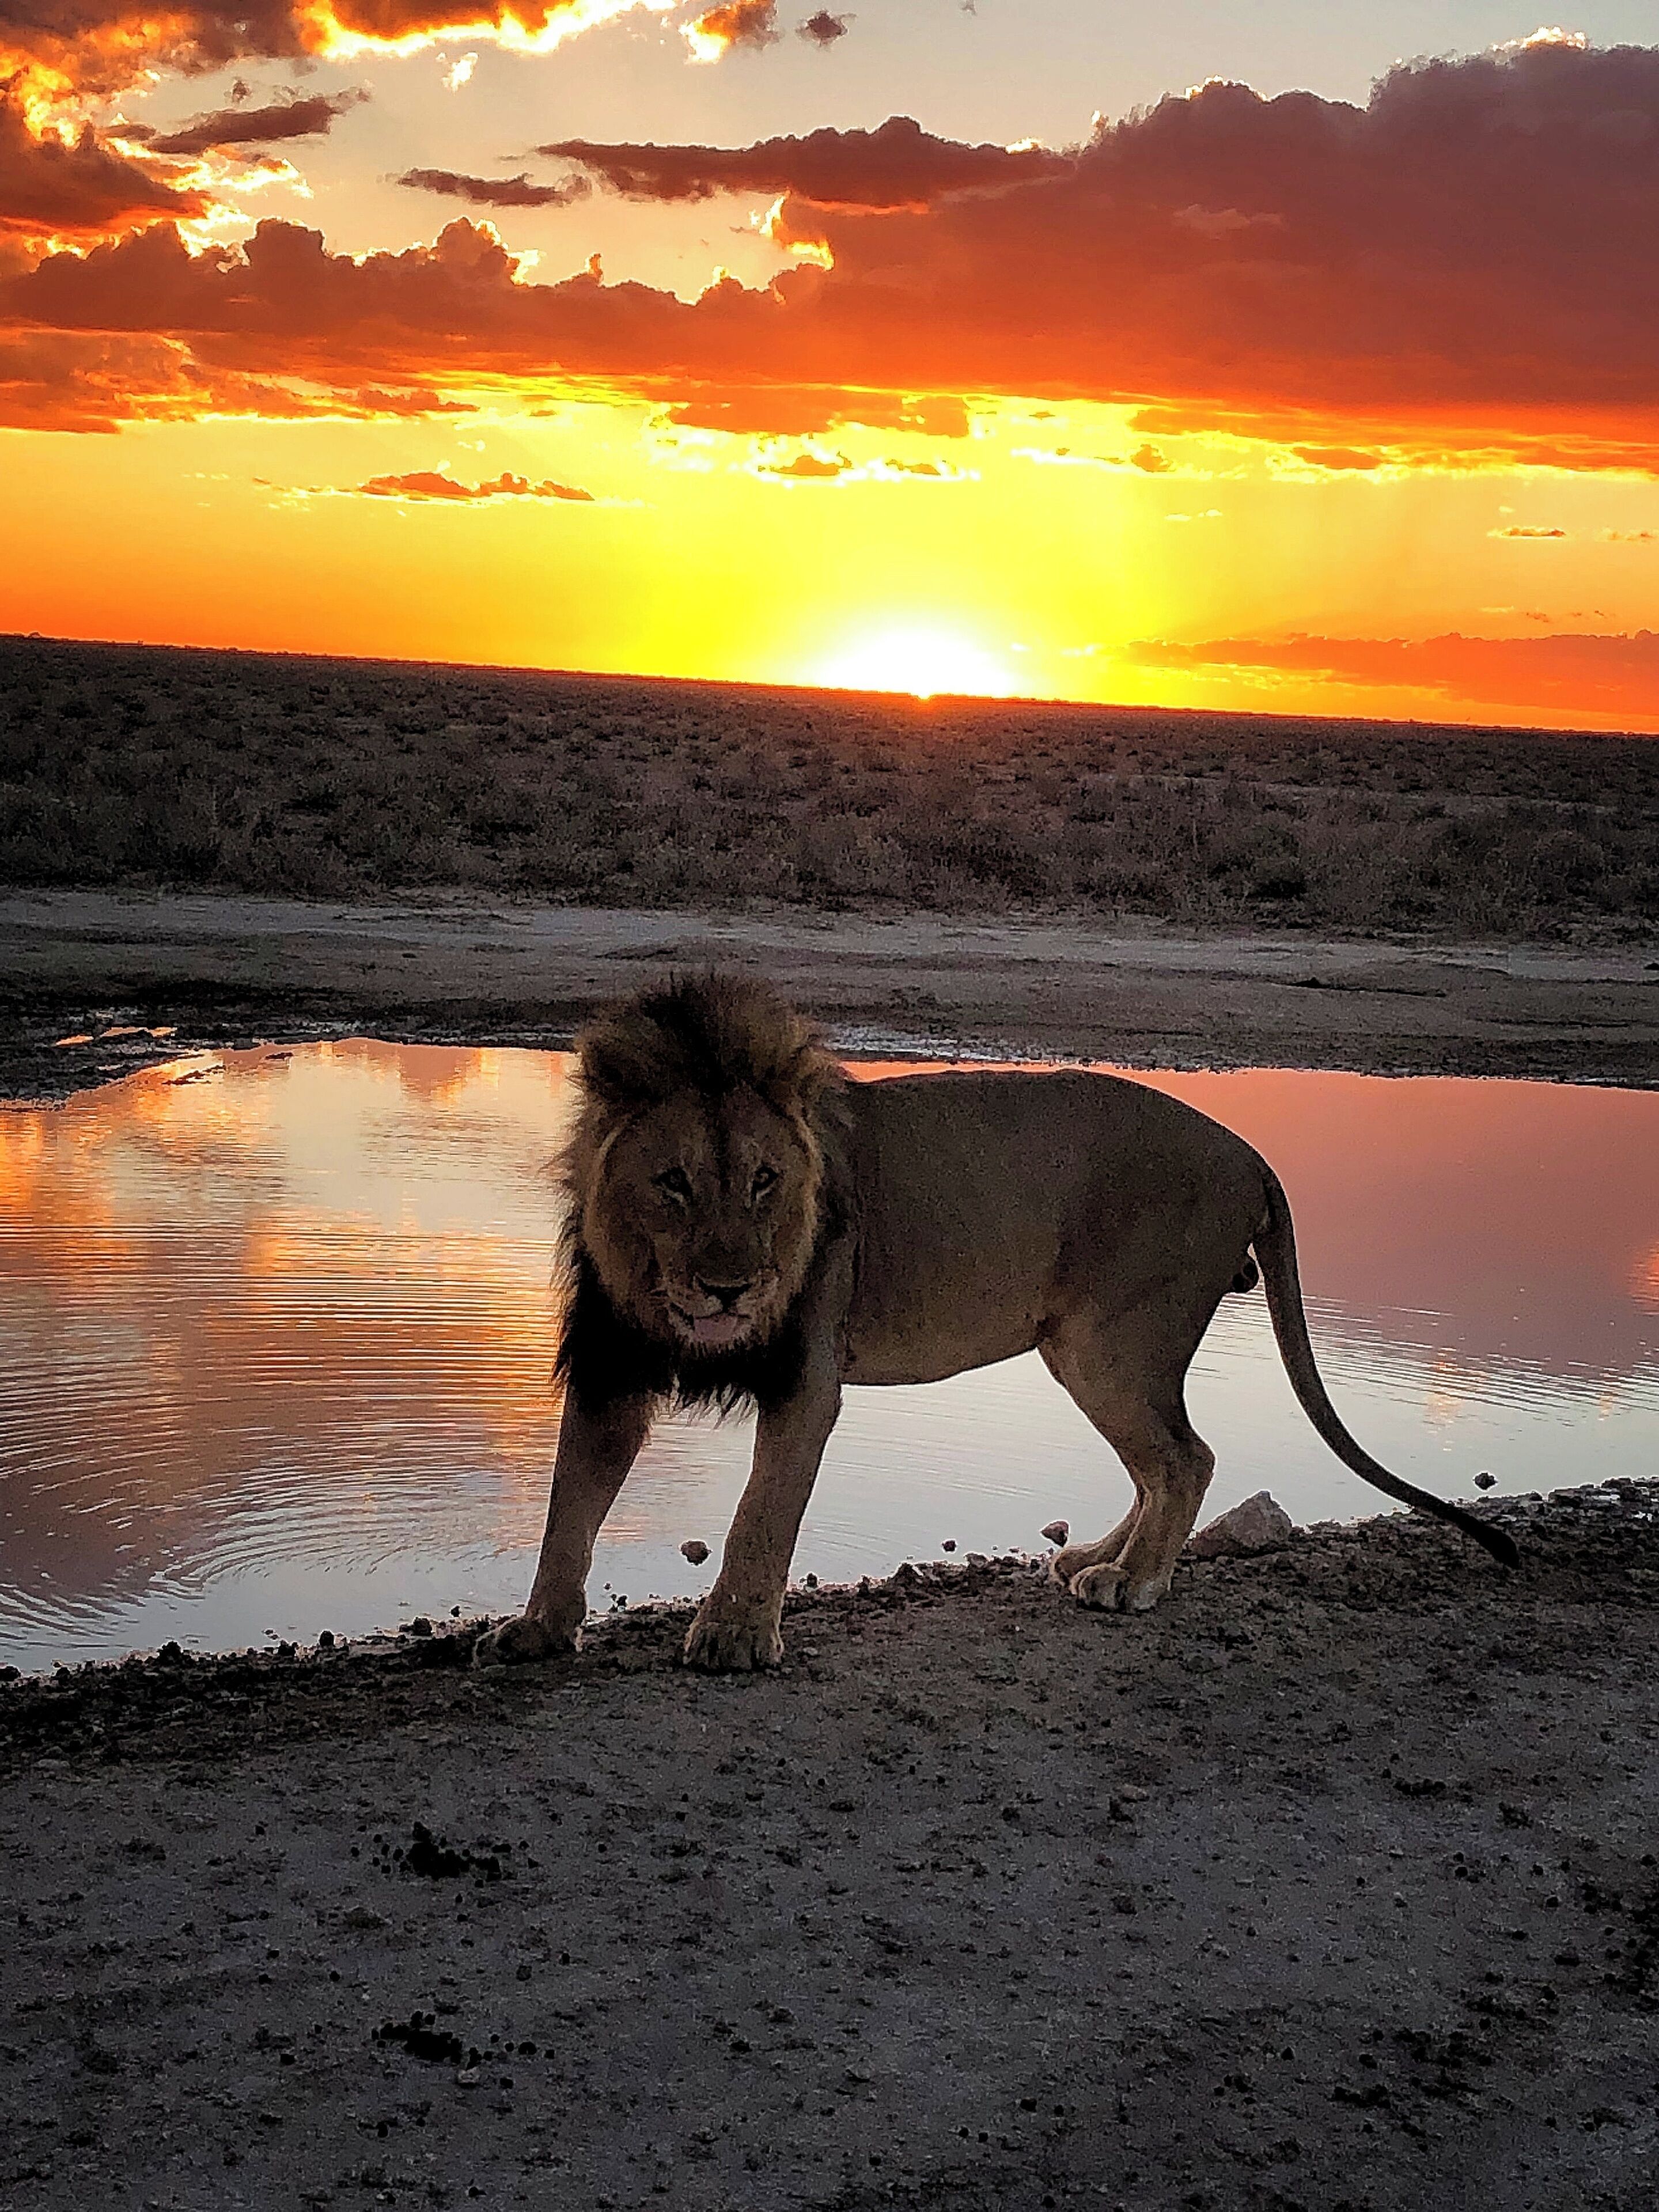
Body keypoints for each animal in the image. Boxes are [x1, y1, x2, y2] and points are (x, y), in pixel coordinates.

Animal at [476, 972, 1516, 1674]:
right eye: (673, 1183)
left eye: (765, 1182)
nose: (734, 1291)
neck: (668, 1299)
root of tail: (1250, 1150)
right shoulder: (612, 1368)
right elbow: (569, 1504)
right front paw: (535, 1628)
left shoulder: (806, 1380)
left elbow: (759, 1514)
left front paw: (732, 1636)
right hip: (1087, 1348)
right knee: (1161, 1460)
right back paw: (1098, 1557)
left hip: (1112, 1340)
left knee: (1187, 1458)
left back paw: (1132, 1583)